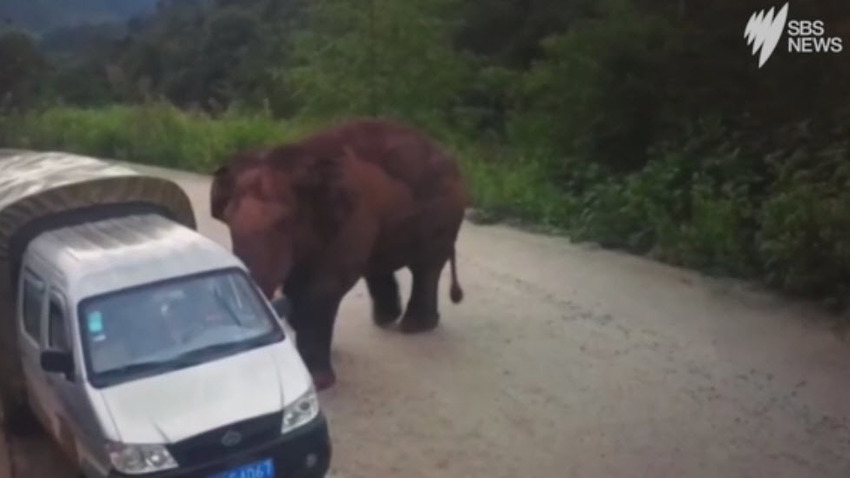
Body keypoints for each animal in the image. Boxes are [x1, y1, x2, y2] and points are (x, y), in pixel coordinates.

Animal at [208, 117, 468, 390]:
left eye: (284, 223)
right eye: (228, 221)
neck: (299, 158)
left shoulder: (353, 219)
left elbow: (322, 288)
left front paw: (319, 381)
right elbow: (298, 286)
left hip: (444, 216)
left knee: (426, 268)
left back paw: (414, 327)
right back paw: (387, 319)